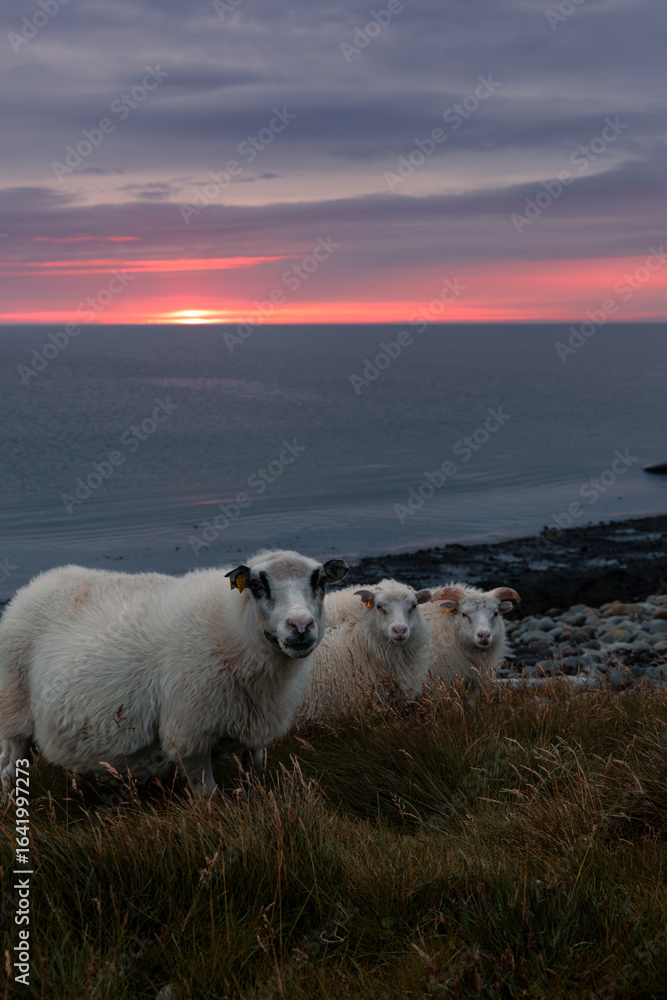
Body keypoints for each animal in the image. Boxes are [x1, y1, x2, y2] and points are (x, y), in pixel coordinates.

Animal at [0, 550, 349, 796]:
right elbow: (208, 795)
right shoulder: (189, 735)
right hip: (13, 718)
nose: (300, 626)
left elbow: (255, 777)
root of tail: (35, 585)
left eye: (320, 582)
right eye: (256, 585)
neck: (235, 628)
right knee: (8, 771)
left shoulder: (254, 732)